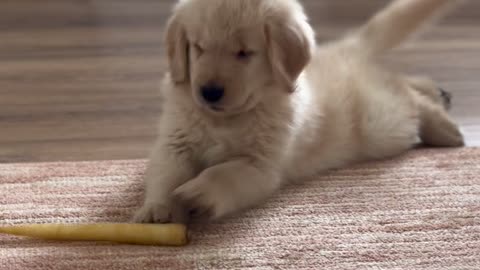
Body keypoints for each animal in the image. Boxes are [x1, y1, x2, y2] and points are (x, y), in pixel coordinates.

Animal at [133, 0, 464, 224]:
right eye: (198, 47)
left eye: (244, 53)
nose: (208, 92)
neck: (225, 119)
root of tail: (343, 50)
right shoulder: (175, 141)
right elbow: (166, 171)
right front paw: (158, 208)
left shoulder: (261, 166)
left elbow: (223, 172)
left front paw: (198, 192)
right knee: (395, 78)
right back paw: (436, 92)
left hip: (380, 125)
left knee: (403, 94)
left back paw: (441, 123)